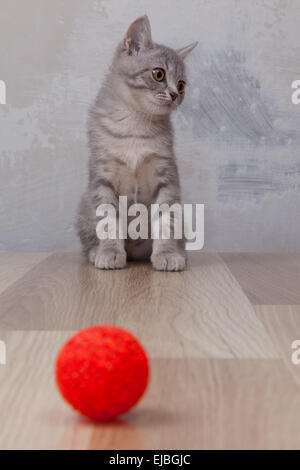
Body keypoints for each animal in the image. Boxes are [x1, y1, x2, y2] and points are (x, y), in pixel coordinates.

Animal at [76, 15, 197, 272]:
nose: (175, 95)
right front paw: (110, 252)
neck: (135, 124)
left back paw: (180, 253)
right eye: (158, 74)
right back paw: (95, 251)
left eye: (182, 84)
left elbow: (166, 221)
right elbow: (108, 221)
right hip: (83, 207)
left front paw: (167, 253)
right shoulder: (102, 178)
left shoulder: (167, 177)